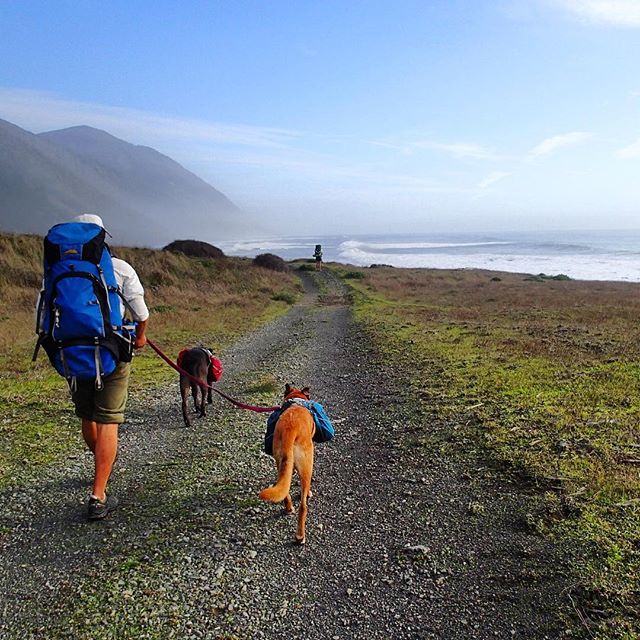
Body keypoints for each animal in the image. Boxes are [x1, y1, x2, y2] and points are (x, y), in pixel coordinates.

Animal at [258, 384, 316, 544]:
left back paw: (289, 508)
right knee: (303, 506)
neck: (296, 401)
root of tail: (291, 429)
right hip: (307, 465)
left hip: (280, 462)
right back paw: (300, 536)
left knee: (285, 491)